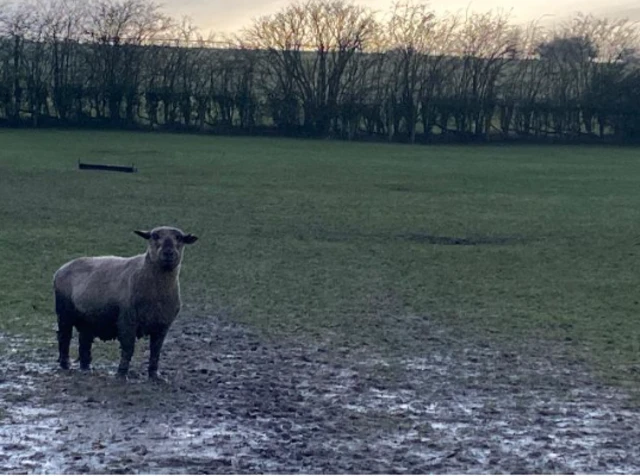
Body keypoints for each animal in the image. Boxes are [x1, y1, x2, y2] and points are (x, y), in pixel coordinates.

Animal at [52, 226, 198, 380]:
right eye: (155, 236)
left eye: (179, 238)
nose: (168, 252)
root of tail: (61, 270)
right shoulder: (127, 320)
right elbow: (128, 348)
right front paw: (122, 374)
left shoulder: (163, 325)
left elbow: (156, 351)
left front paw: (154, 375)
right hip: (64, 313)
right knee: (64, 337)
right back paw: (65, 364)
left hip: (88, 318)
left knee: (84, 341)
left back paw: (86, 367)